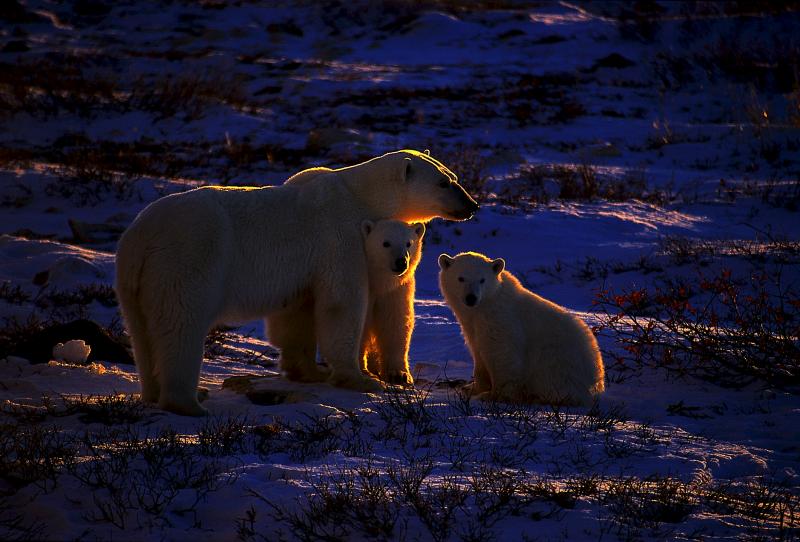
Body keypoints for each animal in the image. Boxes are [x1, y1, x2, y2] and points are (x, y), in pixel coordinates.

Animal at [115, 151, 478, 418]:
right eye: (445, 182)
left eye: (454, 177)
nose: (472, 205)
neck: (359, 195)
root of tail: (140, 237)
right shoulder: (340, 238)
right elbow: (342, 302)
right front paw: (361, 378)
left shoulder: (308, 264)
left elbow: (297, 311)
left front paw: (309, 372)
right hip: (188, 258)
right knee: (182, 324)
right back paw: (189, 402)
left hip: (134, 281)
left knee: (142, 331)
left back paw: (157, 392)